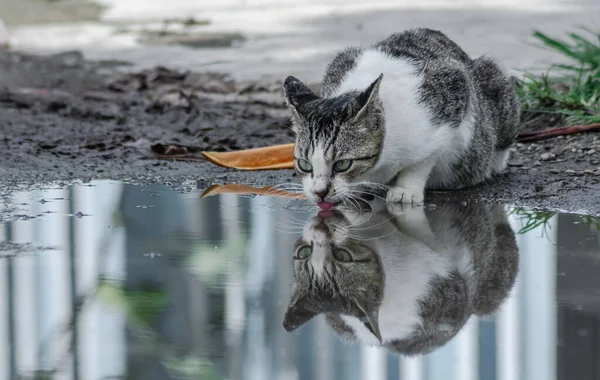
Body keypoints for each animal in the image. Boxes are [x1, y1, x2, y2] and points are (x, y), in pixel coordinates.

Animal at [282, 28, 520, 209]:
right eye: (304, 164)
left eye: (343, 164)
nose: (319, 192)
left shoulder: (452, 101)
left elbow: (423, 160)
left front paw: (405, 190)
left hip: (495, 80)